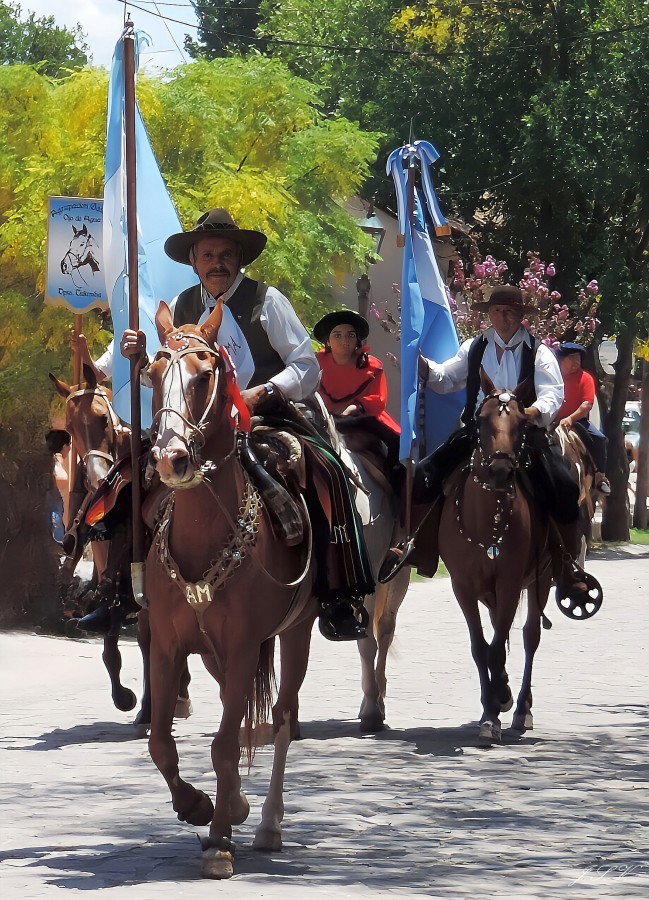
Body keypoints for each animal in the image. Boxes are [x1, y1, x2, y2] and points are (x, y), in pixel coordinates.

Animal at [146, 302, 320, 880]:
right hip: (216, 653)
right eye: (151, 374)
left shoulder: (245, 646)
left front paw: (220, 839)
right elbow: (160, 742)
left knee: (281, 718)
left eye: (204, 377)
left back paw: (267, 823)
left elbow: (225, 745)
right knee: (237, 708)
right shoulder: (167, 647)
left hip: (296, 632)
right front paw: (199, 805)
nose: (171, 458)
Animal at [436, 372, 552, 744]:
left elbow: (499, 644)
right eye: (482, 419)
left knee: (530, 637)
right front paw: (489, 709)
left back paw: (521, 708)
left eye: (521, 422)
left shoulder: (511, 583)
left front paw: (500, 700)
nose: (501, 470)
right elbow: (480, 647)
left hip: (541, 581)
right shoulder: (463, 586)